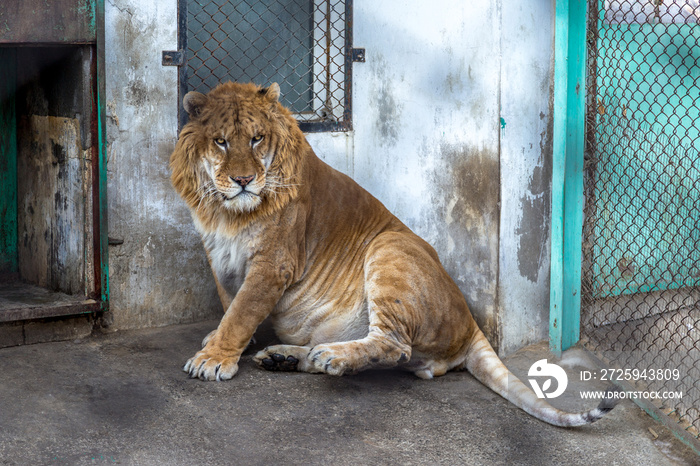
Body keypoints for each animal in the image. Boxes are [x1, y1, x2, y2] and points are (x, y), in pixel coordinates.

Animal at [170, 81, 616, 426]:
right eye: (221, 142)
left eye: (257, 138)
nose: (244, 180)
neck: (226, 214)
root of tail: (471, 322)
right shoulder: (218, 254)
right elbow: (231, 302)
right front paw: (224, 344)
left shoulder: (273, 263)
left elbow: (242, 311)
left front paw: (213, 358)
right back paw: (289, 357)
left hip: (389, 247)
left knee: (394, 345)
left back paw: (329, 357)